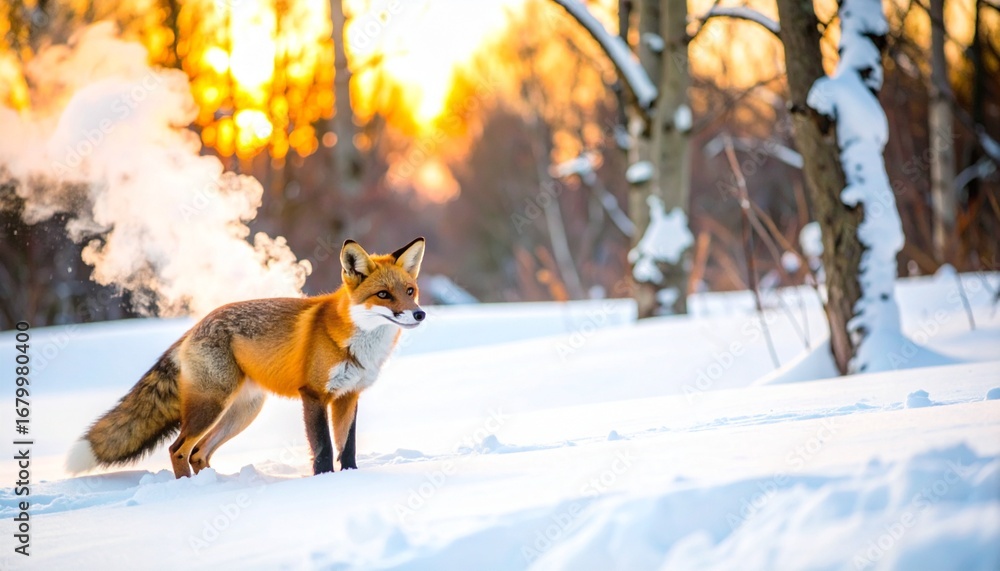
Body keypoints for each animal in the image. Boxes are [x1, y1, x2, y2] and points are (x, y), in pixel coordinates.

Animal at [67, 237, 426, 479]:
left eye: (410, 291)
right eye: (383, 295)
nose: (419, 314)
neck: (352, 341)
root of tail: (195, 327)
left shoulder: (348, 396)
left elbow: (346, 448)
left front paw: (351, 479)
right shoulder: (313, 395)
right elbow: (324, 449)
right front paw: (324, 482)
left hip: (242, 412)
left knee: (198, 453)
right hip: (212, 407)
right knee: (178, 449)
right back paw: (187, 492)